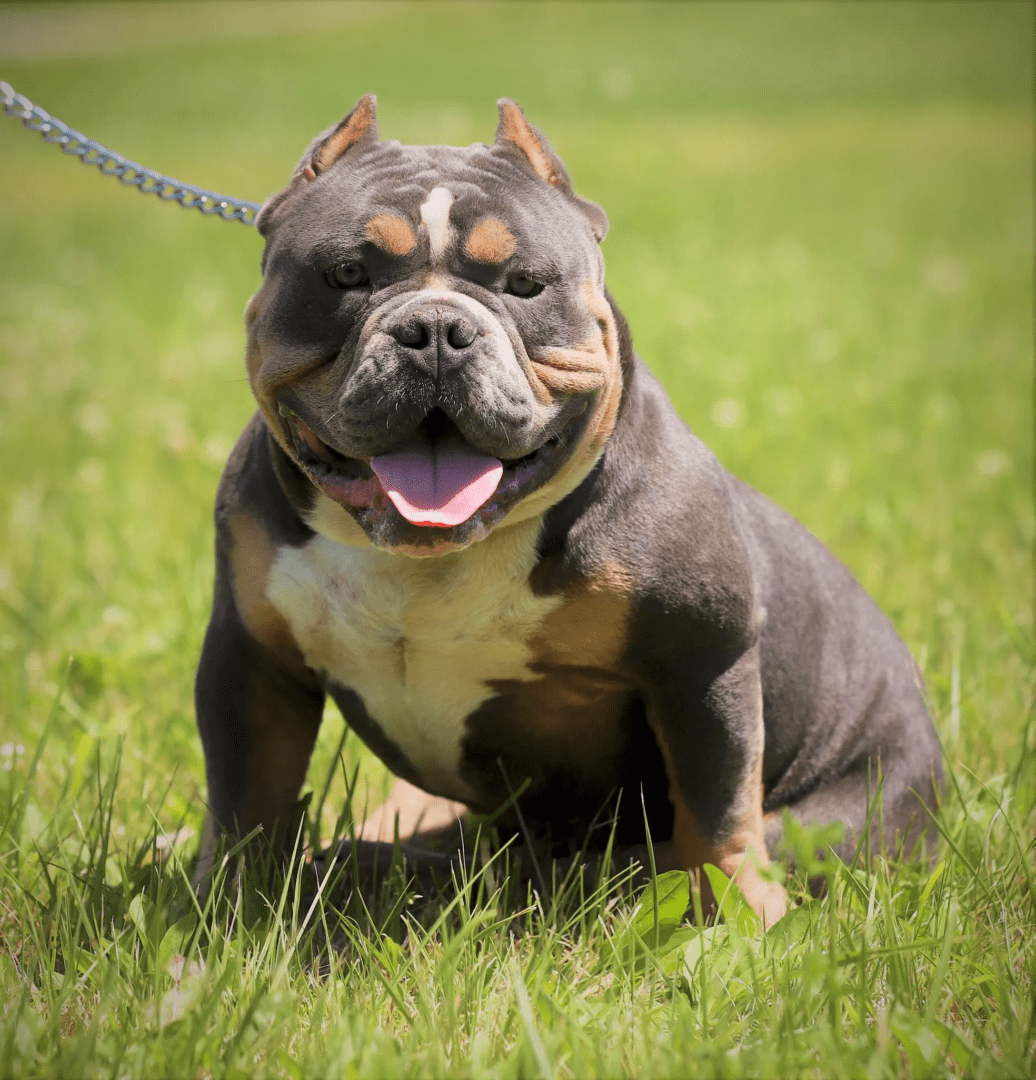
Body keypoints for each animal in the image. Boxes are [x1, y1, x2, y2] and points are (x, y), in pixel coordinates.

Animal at [190, 95, 942, 920]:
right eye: (346, 274)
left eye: (525, 284)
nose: (436, 330)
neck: (436, 557)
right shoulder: (251, 660)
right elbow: (247, 801)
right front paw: (224, 904)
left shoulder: (702, 658)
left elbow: (718, 809)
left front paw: (741, 916)